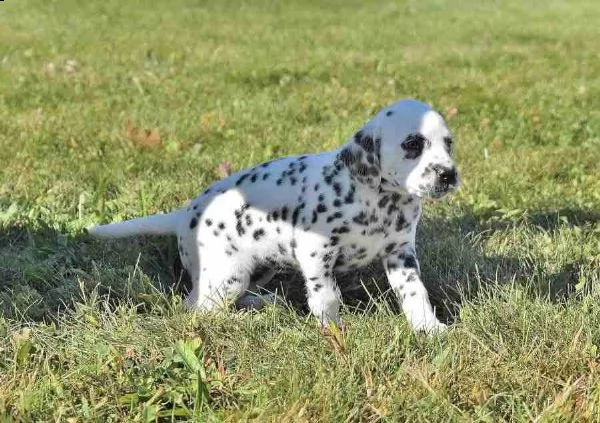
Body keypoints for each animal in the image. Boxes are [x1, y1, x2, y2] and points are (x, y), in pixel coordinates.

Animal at [86, 99, 460, 334]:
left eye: (448, 143)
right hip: (227, 275)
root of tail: (185, 213)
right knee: (195, 308)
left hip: (259, 268)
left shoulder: (400, 254)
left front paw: (429, 328)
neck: (378, 200)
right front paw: (334, 332)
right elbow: (327, 296)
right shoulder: (316, 251)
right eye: (412, 144)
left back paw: (263, 303)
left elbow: (415, 293)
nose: (448, 174)